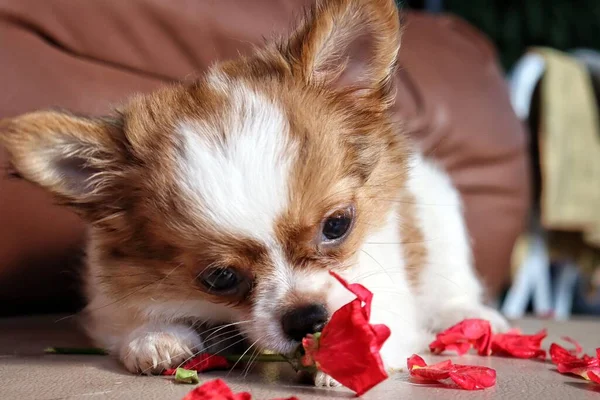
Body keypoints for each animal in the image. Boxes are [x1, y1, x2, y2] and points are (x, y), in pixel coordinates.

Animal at [0, 0, 506, 388]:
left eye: (338, 225)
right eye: (220, 278)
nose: (306, 320)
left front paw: (349, 355)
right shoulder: (108, 286)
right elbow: (128, 312)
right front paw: (155, 337)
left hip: (440, 218)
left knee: (451, 282)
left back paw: (468, 315)